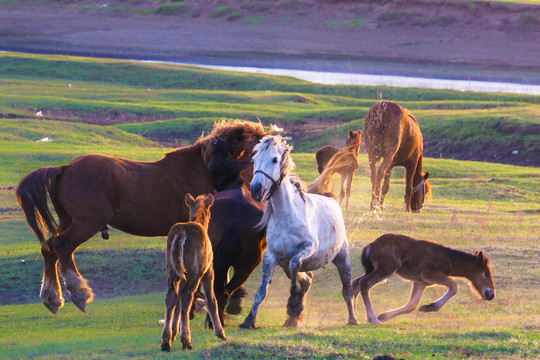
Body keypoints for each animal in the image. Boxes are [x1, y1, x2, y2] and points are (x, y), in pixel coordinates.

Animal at [16, 119, 268, 314]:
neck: (209, 170)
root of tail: (64, 169)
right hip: (86, 224)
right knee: (62, 246)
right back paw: (79, 293)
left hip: (69, 221)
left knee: (49, 248)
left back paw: (52, 298)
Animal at [161, 194, 227, 352]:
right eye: (210, 213)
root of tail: (182, 233)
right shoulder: (209, 272)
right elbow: (211, 300)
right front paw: (220, 333)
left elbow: (177, 302)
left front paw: (174, 333)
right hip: (194, 273)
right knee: (187, 298)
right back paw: (186, 341)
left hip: (173, 272)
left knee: (171, 297)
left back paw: (166, 341)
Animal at [239, 135, 358, 330]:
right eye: (253, 160)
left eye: (275, 159)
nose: (256, 189)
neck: (287, 216)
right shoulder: (271, 256)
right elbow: (262, 290)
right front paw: (249, 320)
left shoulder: (308, 248)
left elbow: (295, 266)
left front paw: (294, 303)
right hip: (286, 264)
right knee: (306, 277)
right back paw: (292, 318)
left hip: (342, 257)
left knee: (346, 288)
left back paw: (352, 319)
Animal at [352, 233, 496, 324]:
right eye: (486, 274)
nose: (491, 294)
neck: (450, 260)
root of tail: (370, 246)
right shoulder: (430, 274)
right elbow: (455, 286)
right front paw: (430, 307)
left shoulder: (421, 282)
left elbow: (412, 305)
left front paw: (384, 316)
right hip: (386, 269)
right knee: (364, 283)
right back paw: (371, 318)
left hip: (376, 269)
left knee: (355, 282)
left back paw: (354, 318)